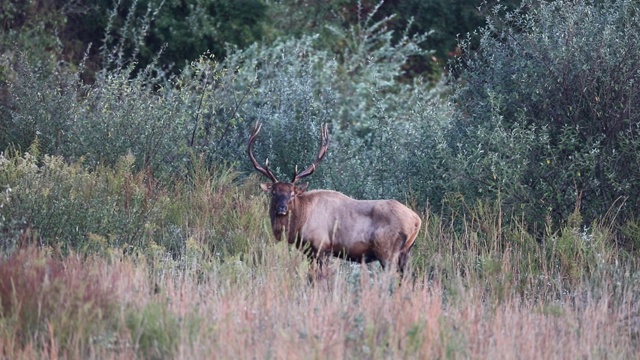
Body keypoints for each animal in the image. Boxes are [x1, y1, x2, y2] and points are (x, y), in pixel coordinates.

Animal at [248, 121, 422, 276]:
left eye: (292, 194)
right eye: (274, 192)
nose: (282, 208)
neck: (300, 223)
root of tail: (416, 220)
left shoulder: (320, 246)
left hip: (387, 251)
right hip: (405, 253)